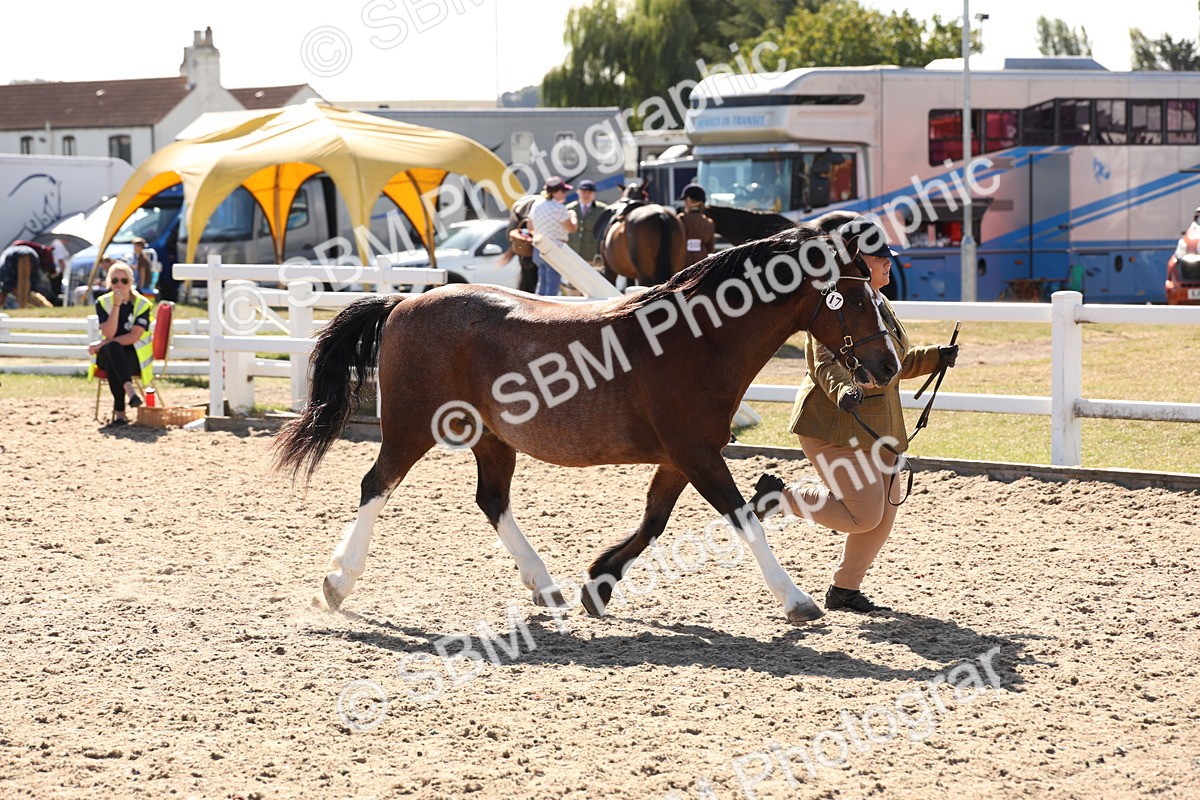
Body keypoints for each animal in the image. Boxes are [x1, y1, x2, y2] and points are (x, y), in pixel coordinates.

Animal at [273, 225, 902, 626]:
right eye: (852, 297)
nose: (888, 366)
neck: (695, 340)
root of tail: (400, 304)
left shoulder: (679, 457)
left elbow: (654, 523)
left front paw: (597, 583)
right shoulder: (696, 453)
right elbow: (742, 517)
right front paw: (796, 601)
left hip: (492, 439)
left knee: (491, 501)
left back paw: (545, 585)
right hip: (412, 427)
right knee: (376, 485)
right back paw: (336, 583)